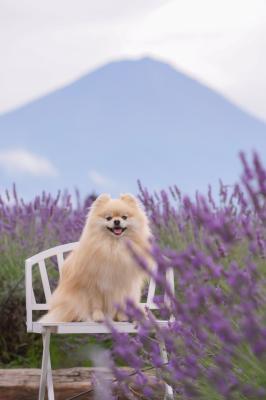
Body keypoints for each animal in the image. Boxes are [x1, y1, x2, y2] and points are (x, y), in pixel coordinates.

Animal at [40, 192, 152, 324]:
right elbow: (96, 304)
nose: (117, 221)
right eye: (108, 218)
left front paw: (122, 318)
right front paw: (98, 317)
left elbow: (122, 303)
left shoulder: (124, 284)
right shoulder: (94, 284)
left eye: (124, 217)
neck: (114, 247)